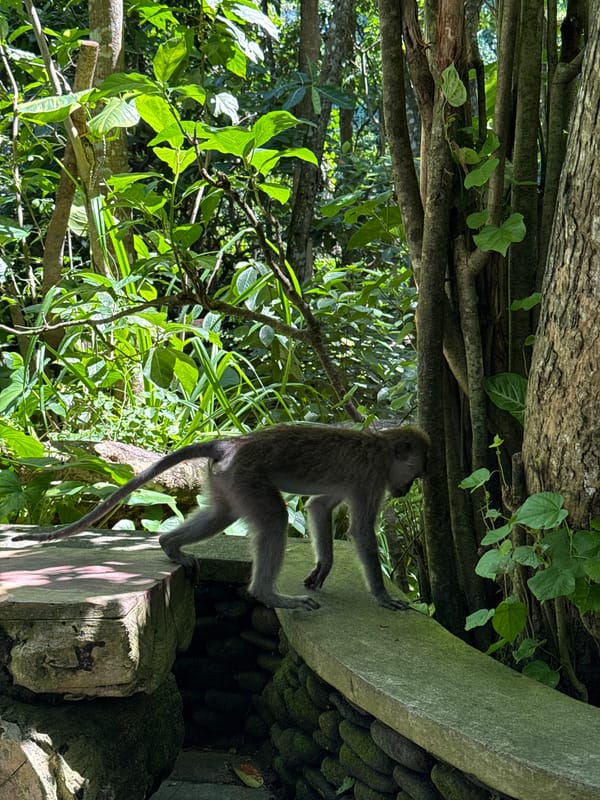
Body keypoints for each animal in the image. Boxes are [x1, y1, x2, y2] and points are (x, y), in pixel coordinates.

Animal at [13, 424, 429, 612]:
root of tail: (233, 442)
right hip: (246, 475)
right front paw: (382, 596)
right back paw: (268, 595)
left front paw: (323, 567)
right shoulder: (371, 478)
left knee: (223, 514)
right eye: (416, 472)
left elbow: (318, 507)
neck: (383, 447)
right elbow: (360, 531)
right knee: (274, 519)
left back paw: (170, 545)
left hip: (227, 479)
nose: (407, 490)